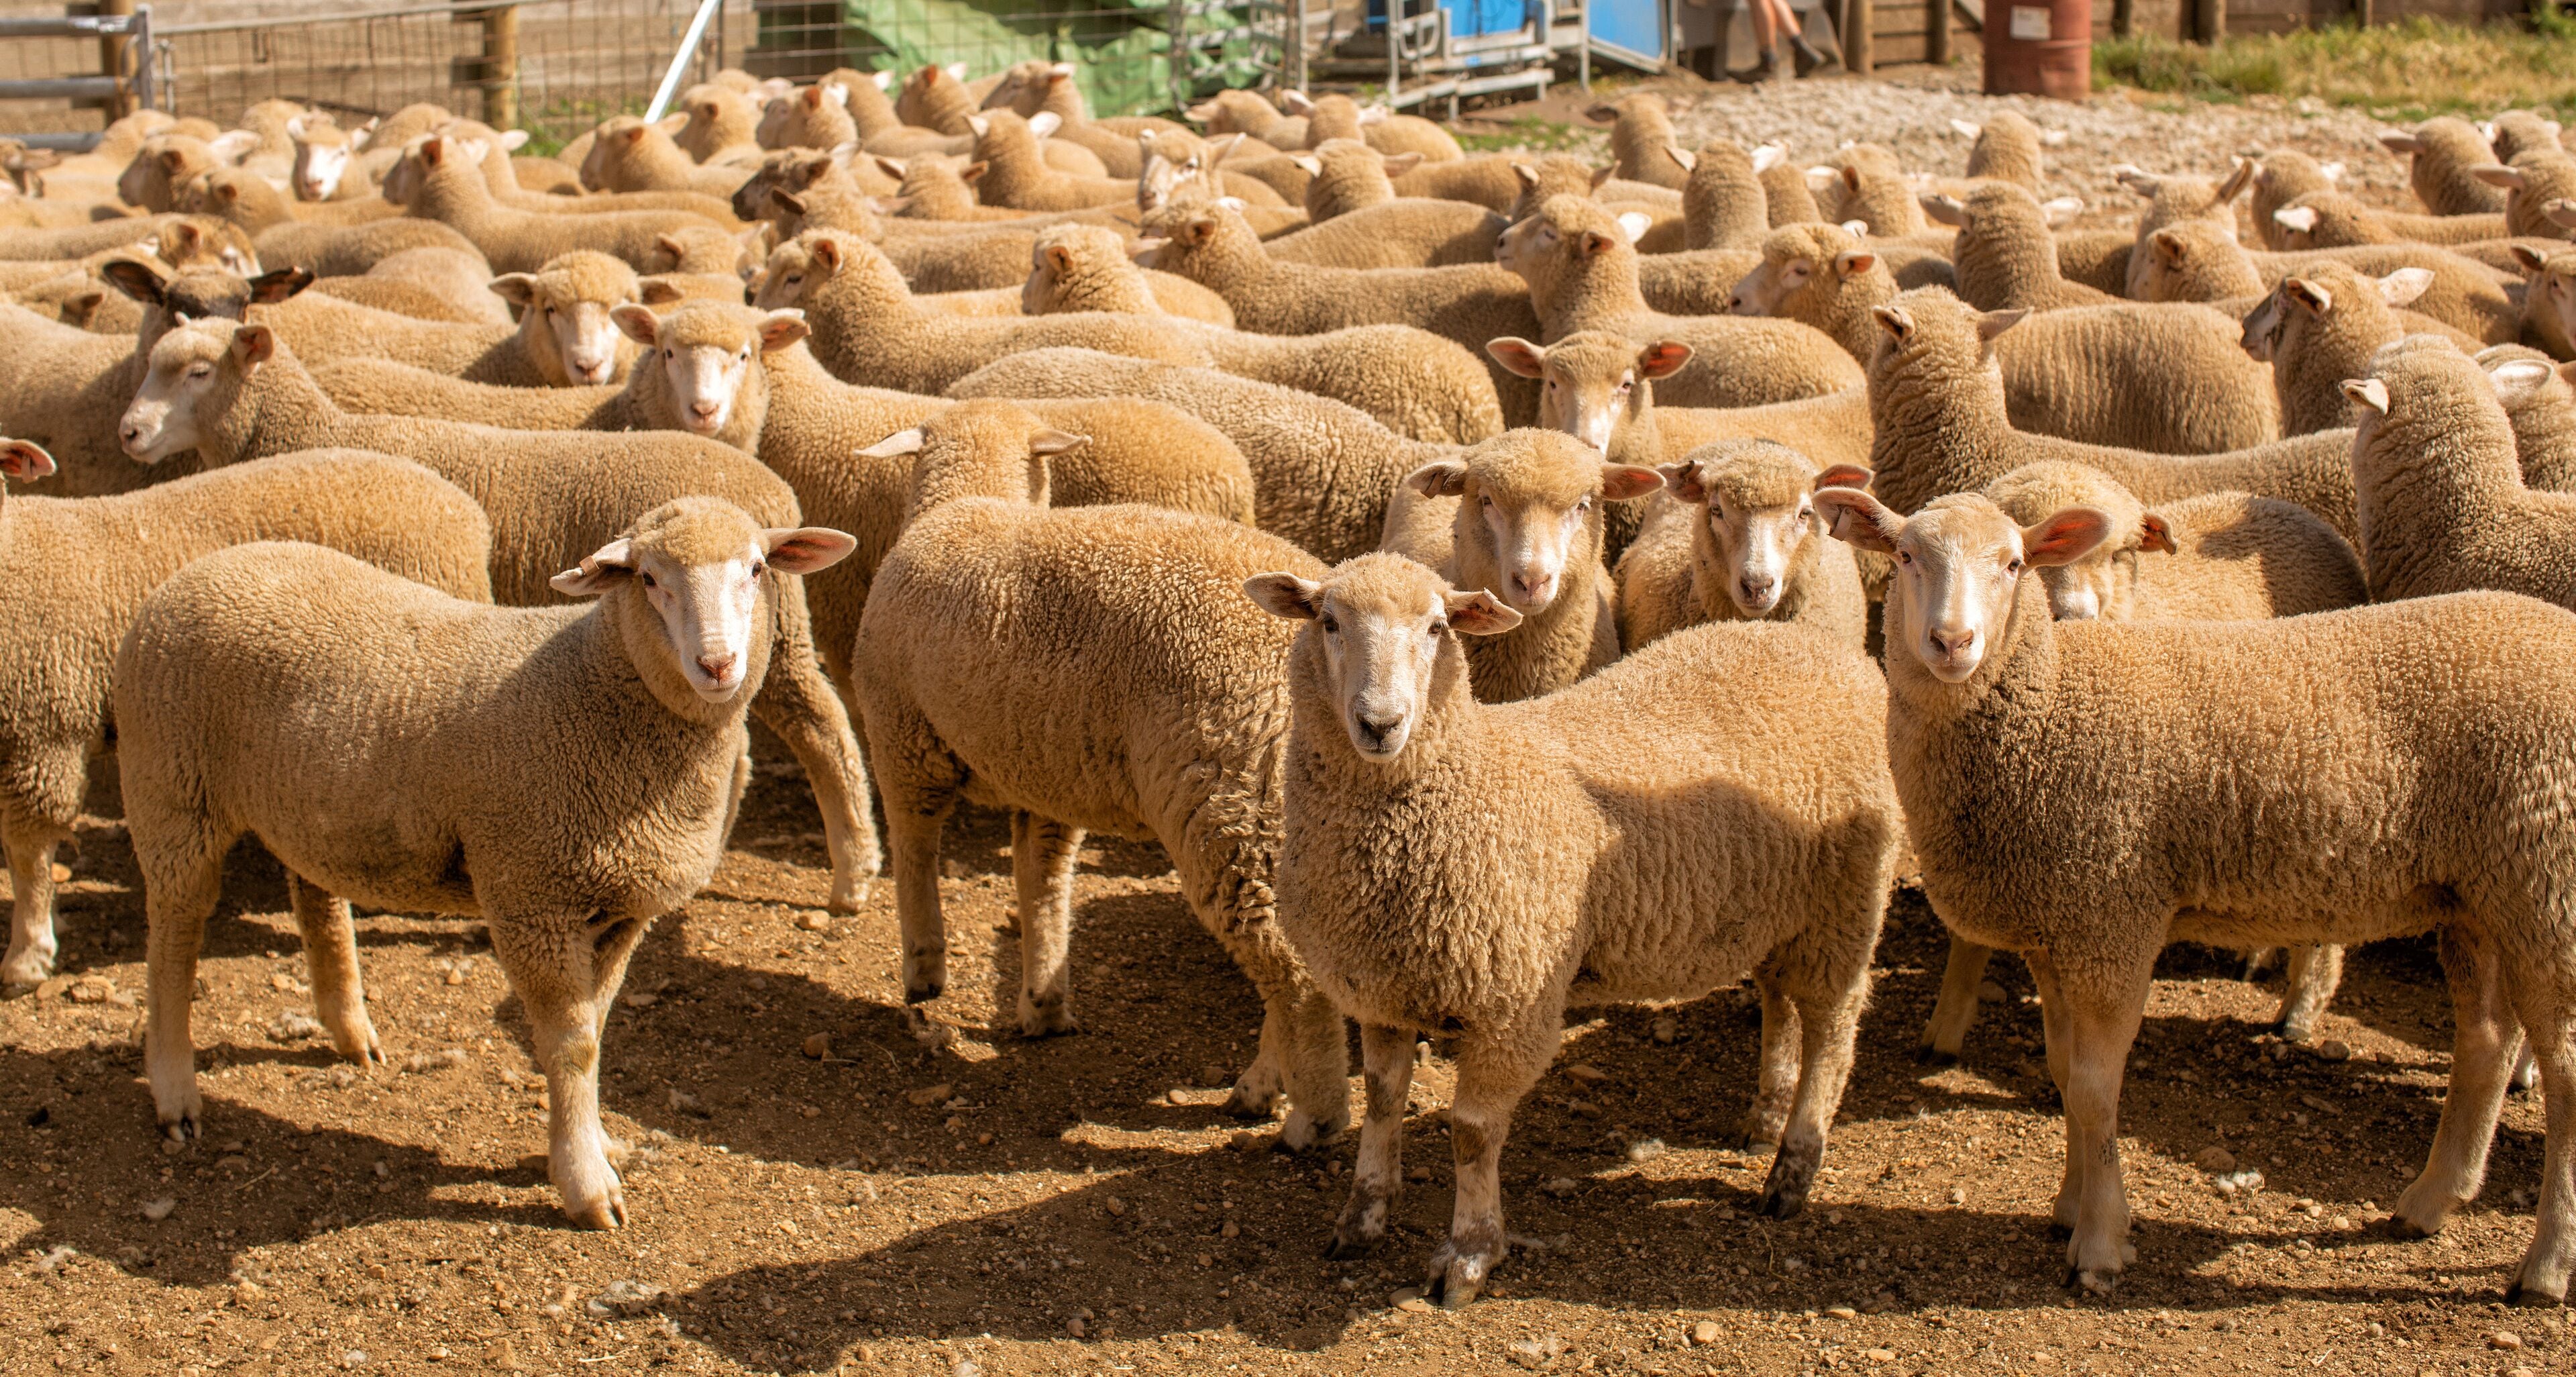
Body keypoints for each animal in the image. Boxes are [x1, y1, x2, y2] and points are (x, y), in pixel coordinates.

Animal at [118, 317, 883, 912]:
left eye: (197, 372)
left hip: (757, 637)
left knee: (822, 728)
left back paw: (851, 874)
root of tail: (771, 492)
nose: (129, 432)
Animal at [125, 498, 856, 1229]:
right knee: (174, 939)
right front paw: (585, 1183)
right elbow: (571, 1045)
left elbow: (597, 1029)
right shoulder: (530, 896)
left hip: (307, 806)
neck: (594, 688)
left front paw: (593, 1142)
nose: (718, 664)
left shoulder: (621, 910)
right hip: (174, 792)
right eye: (648, 579)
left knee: (316, 899)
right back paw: (175, 1090)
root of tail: (198, 571)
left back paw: (349, 1031)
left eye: (756, 569)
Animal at [850, 400, 1348, 1143]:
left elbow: (914, 855)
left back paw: (1309, 1117)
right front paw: (1043, 1001)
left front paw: (924, 971)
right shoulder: (1045, 775)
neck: (970, 500)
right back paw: (1262, 1085)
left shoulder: (902, 738)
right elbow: (1042, 882)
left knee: (1296, 974)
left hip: (1231, 806)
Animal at [1245, 553, 1901, 1304]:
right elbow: (1383, 1104)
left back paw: (1793, 1168)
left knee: (1834, 1032)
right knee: (1779, 1003)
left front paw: (1469, 1256)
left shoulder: (1515, 1004)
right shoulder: (1382, 993)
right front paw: (1363, 1216)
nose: (1381, 723)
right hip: (1779, 912)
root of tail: (1836, 656)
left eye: (1438, 627)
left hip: (1844, 908)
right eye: (1328, 622)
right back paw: (1766, 1118)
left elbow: (1472, 1134)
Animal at [1911, 459, 2372, 1059]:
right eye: (2028, 558)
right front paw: (1945, 1024)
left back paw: (2301, 1008)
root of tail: (2300, 516)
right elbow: (1966, 938)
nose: (2076, 613)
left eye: (2121, 553)